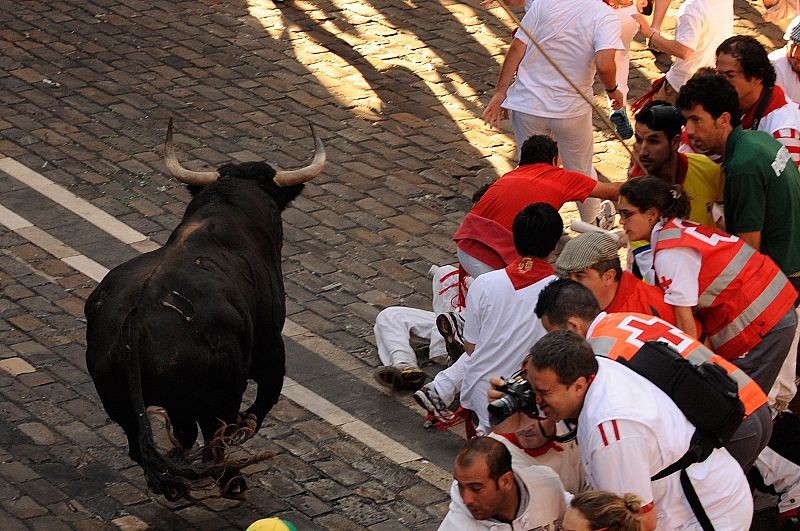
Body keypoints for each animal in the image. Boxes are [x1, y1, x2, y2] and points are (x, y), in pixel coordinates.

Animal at [84, 119, 324, 498]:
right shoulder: (271, 343)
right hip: (213, 396)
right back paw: (232, 480)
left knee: (145, 446)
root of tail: (135, 326)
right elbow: (266, 396)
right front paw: (245, 427)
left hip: (123, 403)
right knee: (212, 439)